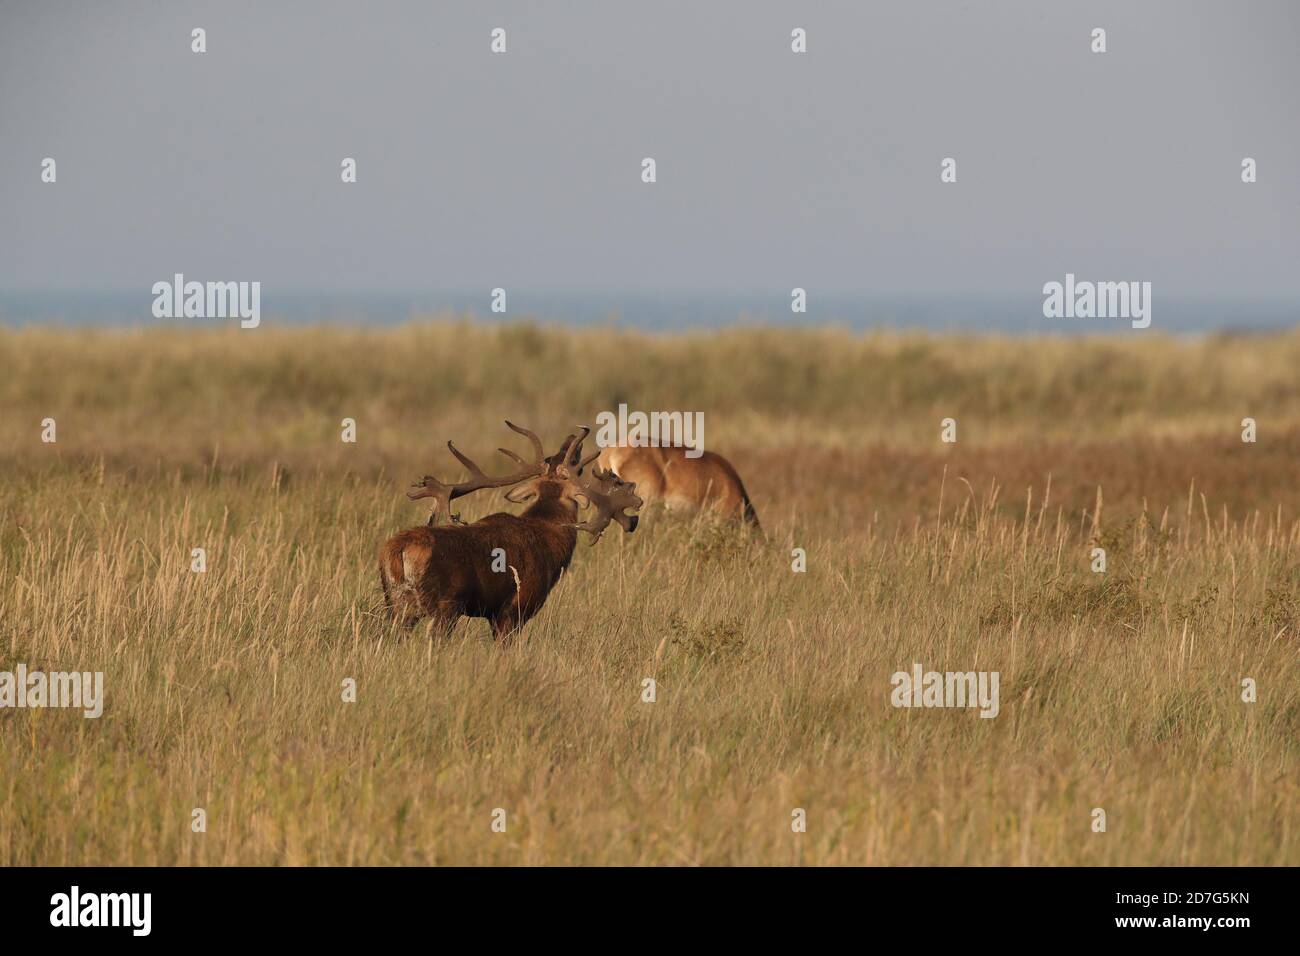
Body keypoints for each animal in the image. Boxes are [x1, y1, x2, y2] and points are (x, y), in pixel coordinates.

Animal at [379, 421, 642, 639]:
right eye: (578, 469)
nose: (569, 440)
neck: (549, 537)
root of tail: (397, 551)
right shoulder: (516, 607)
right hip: (445, 605)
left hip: (396, 604)